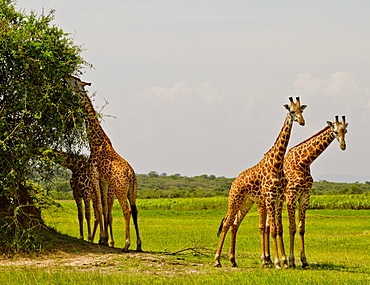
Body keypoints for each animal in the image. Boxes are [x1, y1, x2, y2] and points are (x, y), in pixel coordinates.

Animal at [64, 75, 142, 251]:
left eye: (75, 81)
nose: (65, 77)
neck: (96, 142)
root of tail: (131, 175)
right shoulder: (104, 181)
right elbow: (104, 208)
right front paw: (104, 239)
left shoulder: (94, 175)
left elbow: (99, 207)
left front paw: (102, 239)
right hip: (132, 190)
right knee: (135, 210)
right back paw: (139, 245)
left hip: (120, 188)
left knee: (127, 210)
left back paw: (126, 244)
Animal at [214, 96, 306, 268]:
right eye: (292, 111)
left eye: (301, 110)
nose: (302, 121)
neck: (277, 163)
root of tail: (234, 182)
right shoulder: (269, 197)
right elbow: (273, 229)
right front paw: (277, 262)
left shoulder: (278, 198)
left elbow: (278, 228)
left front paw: (283, 261)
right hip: (234, 199)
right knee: (226, 223)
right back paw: (217, 260)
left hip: (246, 202)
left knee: (235, 224)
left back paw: (233, 260)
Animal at [282, 115, 348, 266]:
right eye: (335, 131)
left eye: (345, 131)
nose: (343, 146)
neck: (303, 162)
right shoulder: (291, 196)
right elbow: (292, 228)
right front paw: (291, 261)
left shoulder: (305, 196)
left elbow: (301, 228)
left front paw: (304, 260)